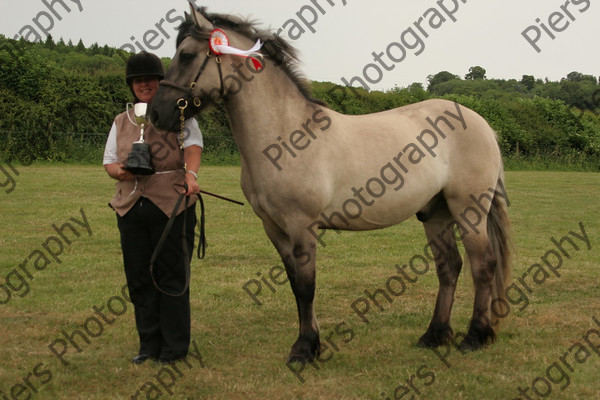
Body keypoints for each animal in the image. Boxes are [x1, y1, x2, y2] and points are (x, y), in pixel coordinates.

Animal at [150, 5, 510, 366]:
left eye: (186, 54)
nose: (155, 113)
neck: (285, 136)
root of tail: (481, 123)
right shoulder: (274, 228)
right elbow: (296, 286)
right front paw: (313, 344)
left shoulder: (302, 224)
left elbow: (307, 286)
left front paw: (304, 349)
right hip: (436, 212)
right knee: (449, 266)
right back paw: (434, 335)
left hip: (468, 209)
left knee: (483, 265)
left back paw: (476, 336)